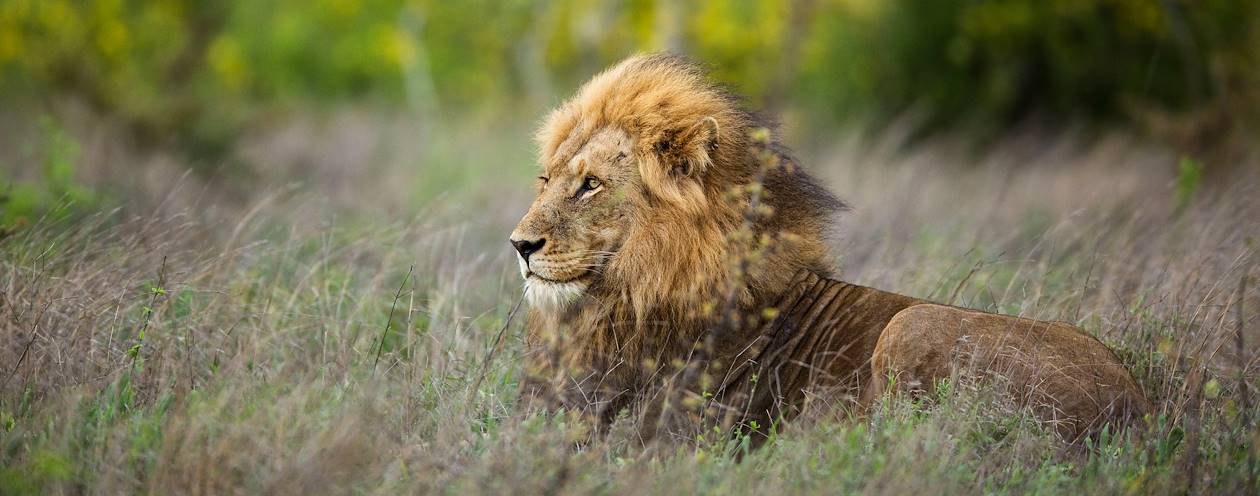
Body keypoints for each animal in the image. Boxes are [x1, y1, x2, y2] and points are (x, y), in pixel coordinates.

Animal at [509, 53, 1150, 444]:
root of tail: (1138, 410)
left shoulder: (670, 437)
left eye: (591, 184)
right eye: (545, 180)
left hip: (912, 326)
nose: (519, 244)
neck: (632, 296)